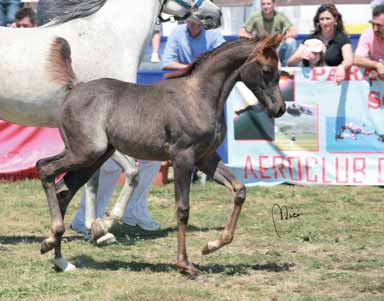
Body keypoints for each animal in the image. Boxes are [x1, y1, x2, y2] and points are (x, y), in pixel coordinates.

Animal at [37, 34, 284, 276]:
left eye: (278, 68)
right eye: (266, 69)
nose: (279, 109)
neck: (198, 97)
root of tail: (74, 88)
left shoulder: (206, 159)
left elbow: (239, 190)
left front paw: (211, 246)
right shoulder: (183, 158)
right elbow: (183, 210)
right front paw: (185, 264)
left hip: (93, 158)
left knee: (63, 191)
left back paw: (60, 258)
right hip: (86, 152)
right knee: (44, 168)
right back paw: (55, 240)